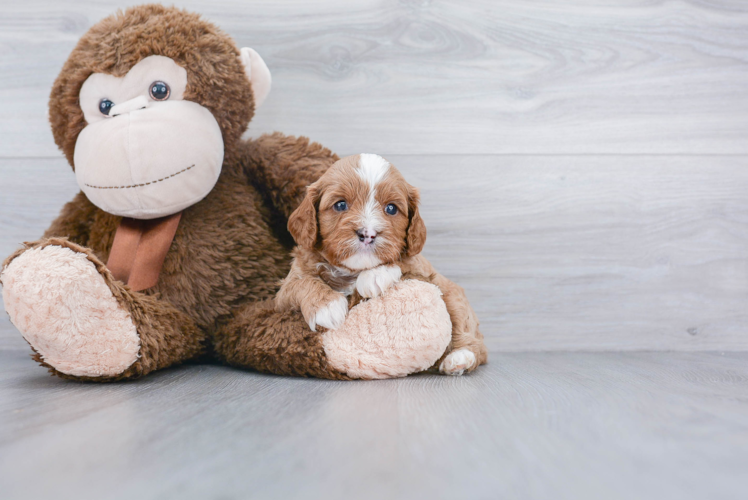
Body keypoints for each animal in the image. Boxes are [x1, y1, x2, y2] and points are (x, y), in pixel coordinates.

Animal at [278, 152, 488, 376]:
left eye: (391, 208)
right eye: (340, 205)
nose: (368, 234)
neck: (352, 270)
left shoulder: (422, 266)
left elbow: (405, 261)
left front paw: (374, 276)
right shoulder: (283, 294)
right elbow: (301, 283)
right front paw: (327, 306)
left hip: (454, 297)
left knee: (472, 338)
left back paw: (460, 358)